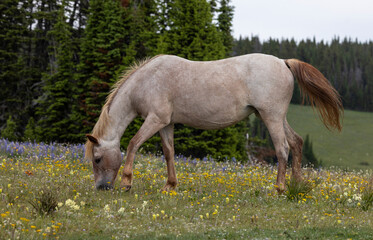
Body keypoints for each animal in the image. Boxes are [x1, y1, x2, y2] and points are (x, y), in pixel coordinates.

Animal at [85, 53, 342, 192]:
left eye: (97, 159)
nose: (100, 187)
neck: (148, 80)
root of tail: (283, 62)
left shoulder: (155, 120)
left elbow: (133, 144)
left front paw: (127, 182)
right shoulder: (166, 124)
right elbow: (169, 152)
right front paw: (170, 185)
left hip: (271, 117)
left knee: (283, 148)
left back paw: (279, 188)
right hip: (273, 117)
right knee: (296, 143)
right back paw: (297, 185)